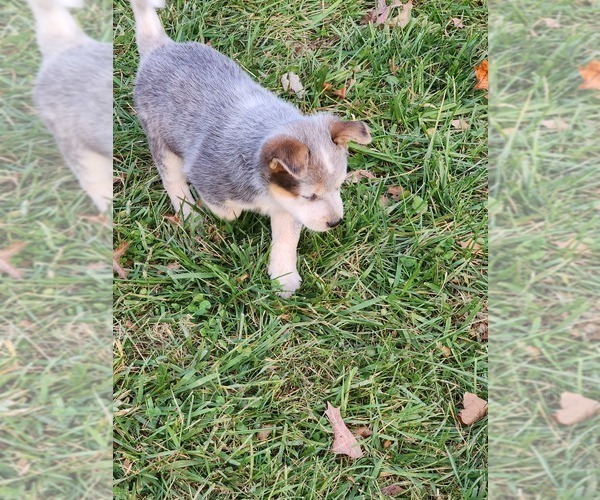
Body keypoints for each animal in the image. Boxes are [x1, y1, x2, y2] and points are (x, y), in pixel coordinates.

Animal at [131, 0, 370, 296]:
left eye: (339, 186)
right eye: (310, 196)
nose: (335, 222)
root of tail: (161, 47)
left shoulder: (287, 207)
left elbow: (286, 241)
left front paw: (284, 277)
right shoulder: (207, 177)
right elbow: (228, 211)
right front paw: (223, 213)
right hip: (161, 140)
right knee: (173, 180)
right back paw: (189, 214)